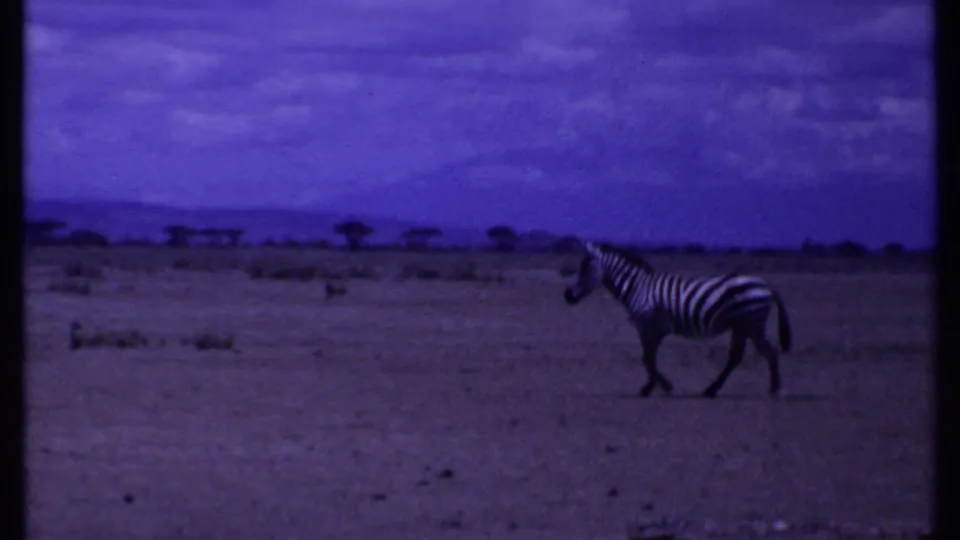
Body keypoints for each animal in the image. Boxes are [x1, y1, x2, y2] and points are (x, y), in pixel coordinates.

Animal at [562, 241, 792, 398]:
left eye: (585, 268)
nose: (567, 295)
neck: (638, 287)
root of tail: (765, 285)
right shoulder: (651, 329)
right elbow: (649, 358)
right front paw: (651, 387)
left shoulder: (648, 326)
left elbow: (647, 359)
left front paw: (661, 386)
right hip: (742, 326)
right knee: (737, 357)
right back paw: (712, 389)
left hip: (751, 323)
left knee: (767, 352)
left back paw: (774, 389)